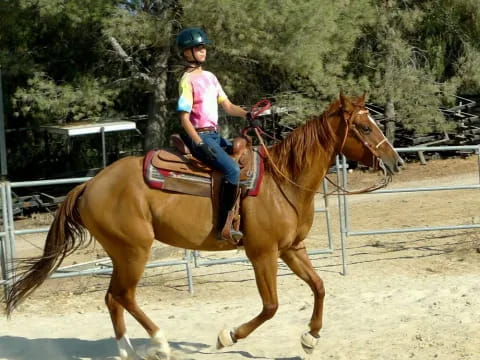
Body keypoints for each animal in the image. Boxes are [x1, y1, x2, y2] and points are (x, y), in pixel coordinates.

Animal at [4, 93, 402, 360]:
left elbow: (319, 287)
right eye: (364, 127)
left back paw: (126, 350)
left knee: (112, 297)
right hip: (134, 251)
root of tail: (89, 185)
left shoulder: (292, 249)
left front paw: (311, 337)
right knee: (124, 295)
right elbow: (271, 306)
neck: (282, 181)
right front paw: (229, 336)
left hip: (121, 253)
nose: (395, 161)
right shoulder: (262, 254)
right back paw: (160, 343)